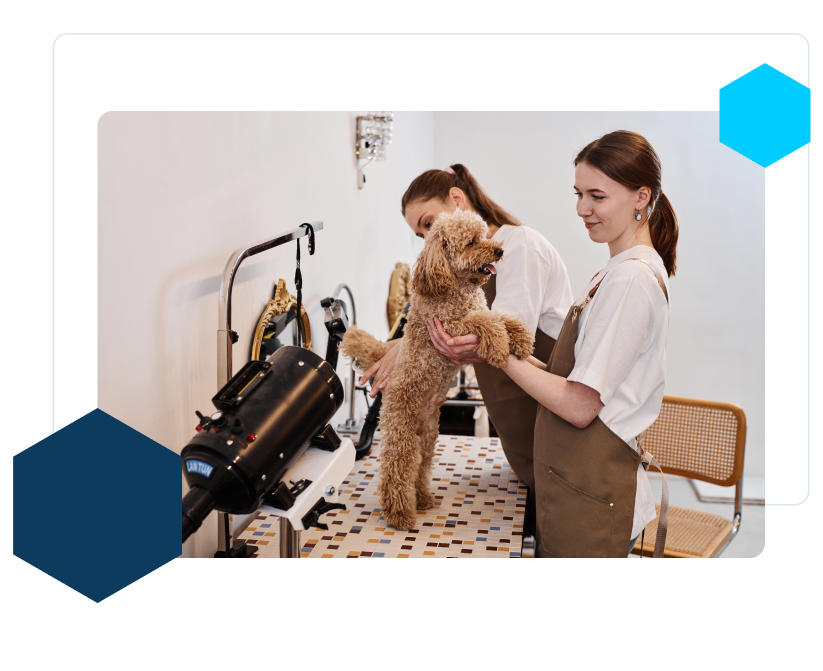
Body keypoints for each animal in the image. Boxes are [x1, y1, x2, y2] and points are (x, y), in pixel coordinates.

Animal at [340, 210, 536, 532]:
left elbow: (502, 317)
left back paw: (421, 498)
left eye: (486, 235)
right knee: (396, 470)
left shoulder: (478, 310)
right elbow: (487, 322)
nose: (500, 250)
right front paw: (498, 345)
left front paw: (519, 338)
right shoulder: (452, 325)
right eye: (471, 242)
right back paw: (400, 514)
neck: (457, 286)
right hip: (402, 431)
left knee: (419, 469)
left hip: (429, 435)